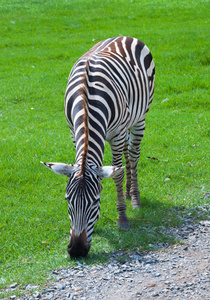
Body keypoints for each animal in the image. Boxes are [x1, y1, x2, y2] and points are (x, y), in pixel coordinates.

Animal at [41, 36, 155, 258]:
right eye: (67, 200)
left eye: (95, 201)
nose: (77, 251)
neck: (86, 101)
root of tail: (123, 36)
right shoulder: (73, 133)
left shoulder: (116, 134)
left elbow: (117, 174)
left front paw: (122, 219)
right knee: (128, 154)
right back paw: (128, 193)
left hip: (140, 118)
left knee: (133, 155)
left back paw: (134, 198)